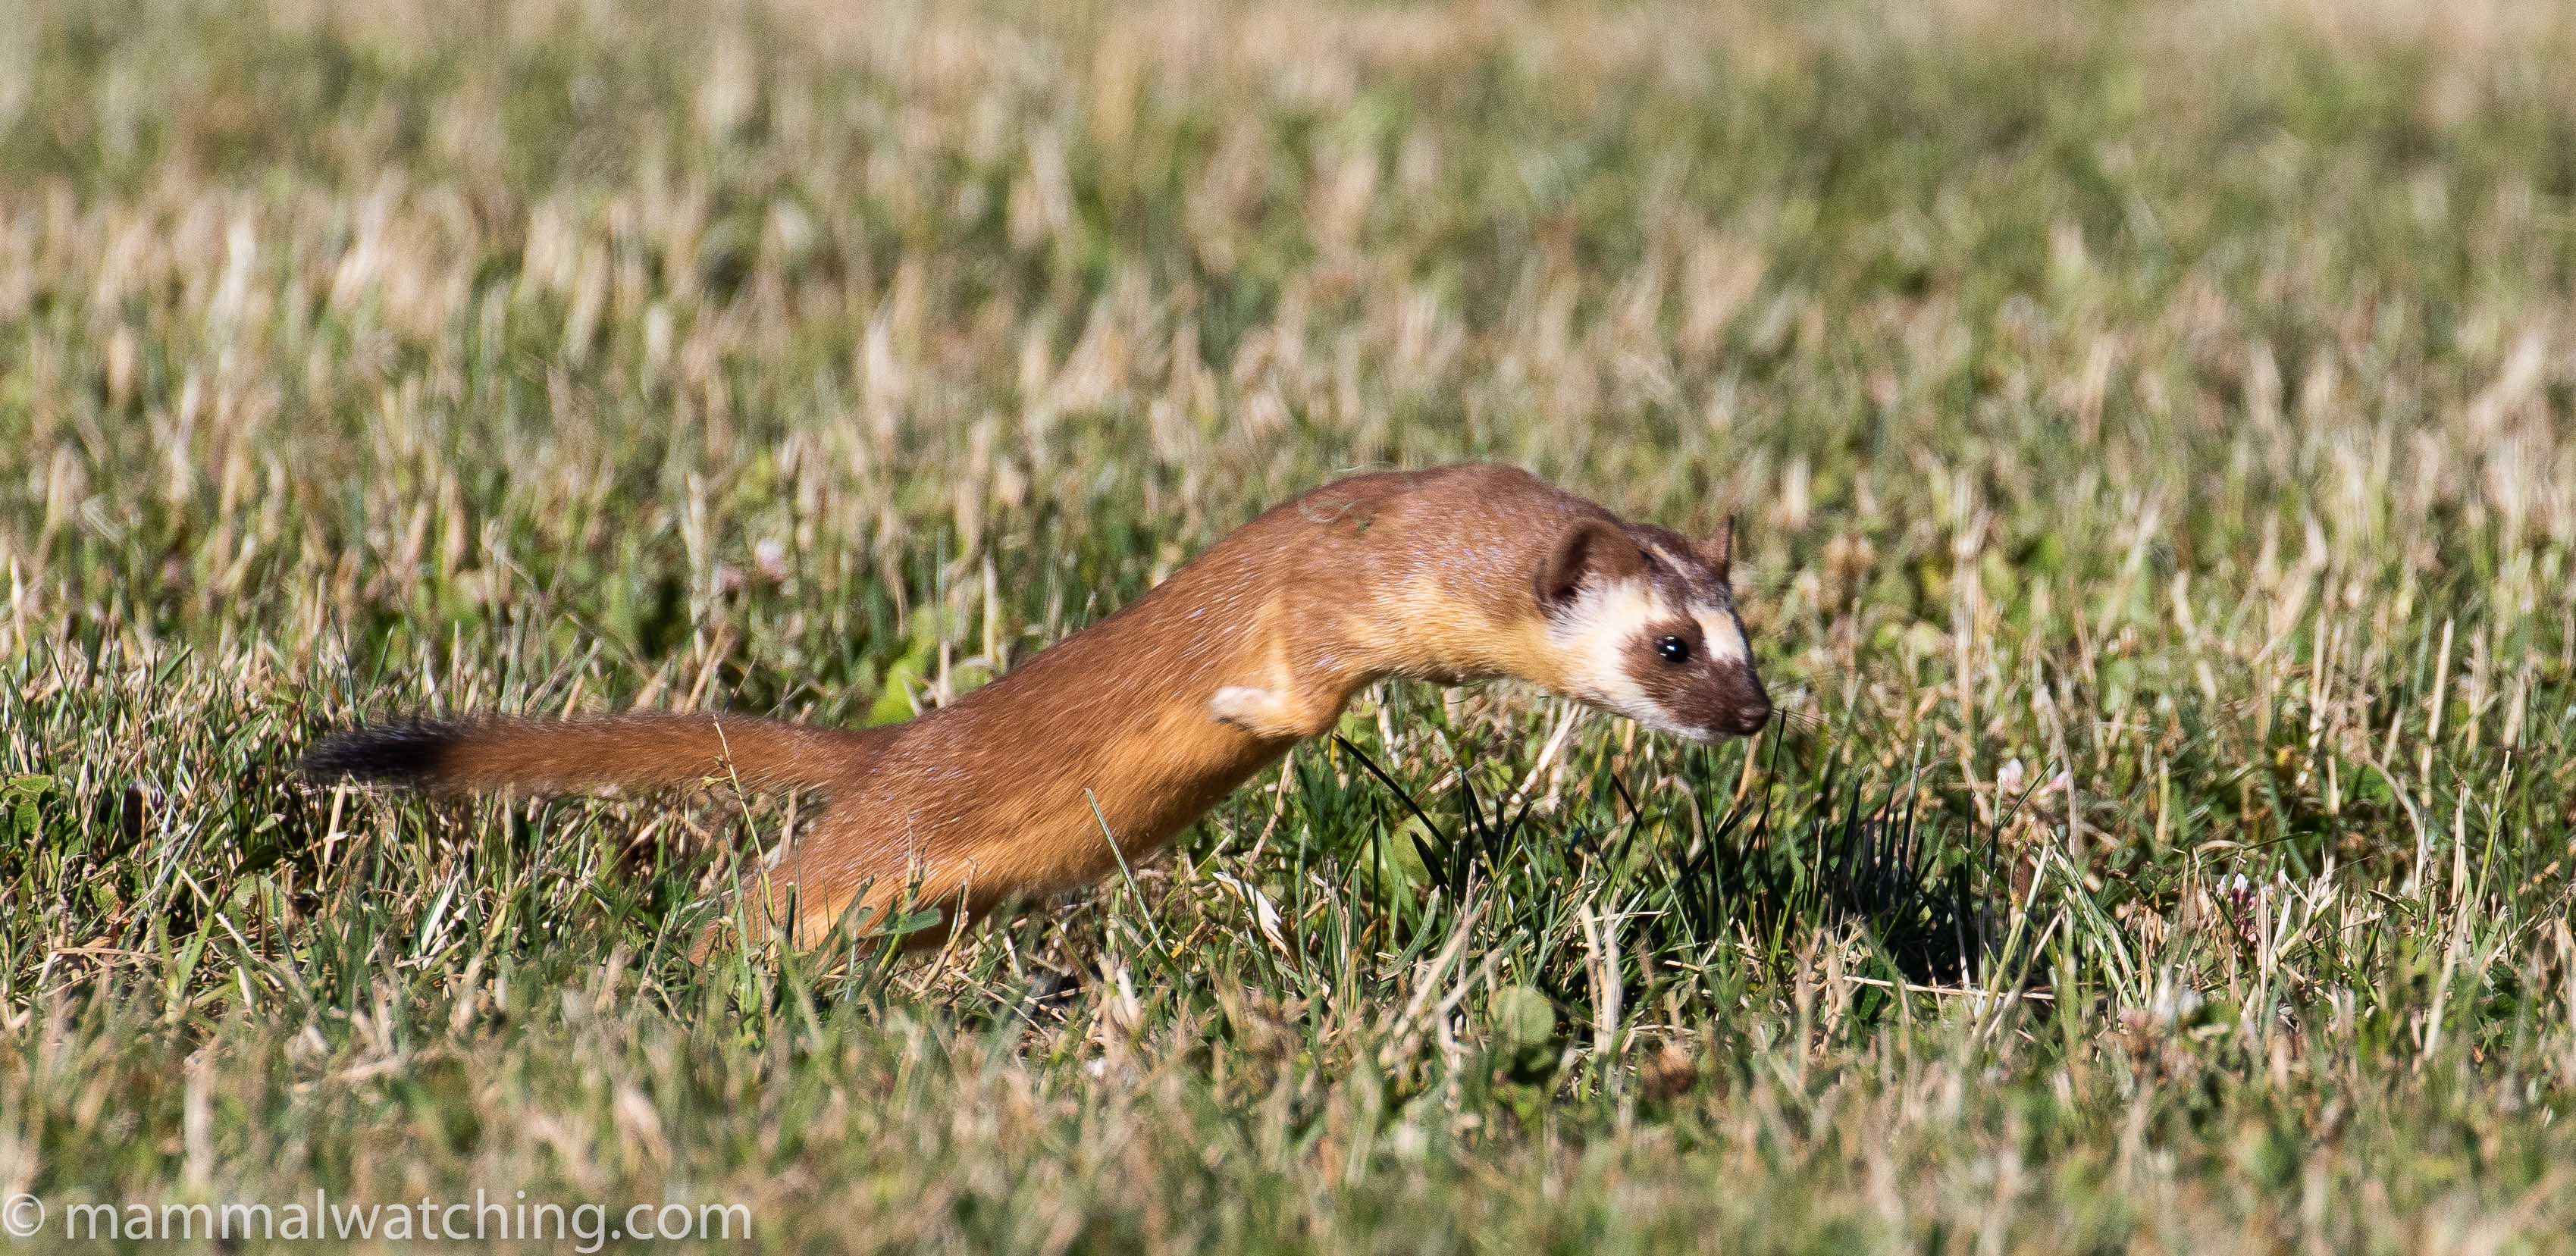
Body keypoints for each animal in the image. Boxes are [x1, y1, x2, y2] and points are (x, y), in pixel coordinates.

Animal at [301, 465, 1772, 947]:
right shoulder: (1319, 595)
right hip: (873, 844)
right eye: (1670, 644)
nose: (1754, 716)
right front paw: (1240, 701)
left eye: (1746, 639)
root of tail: (890, 743)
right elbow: (1292, 693)